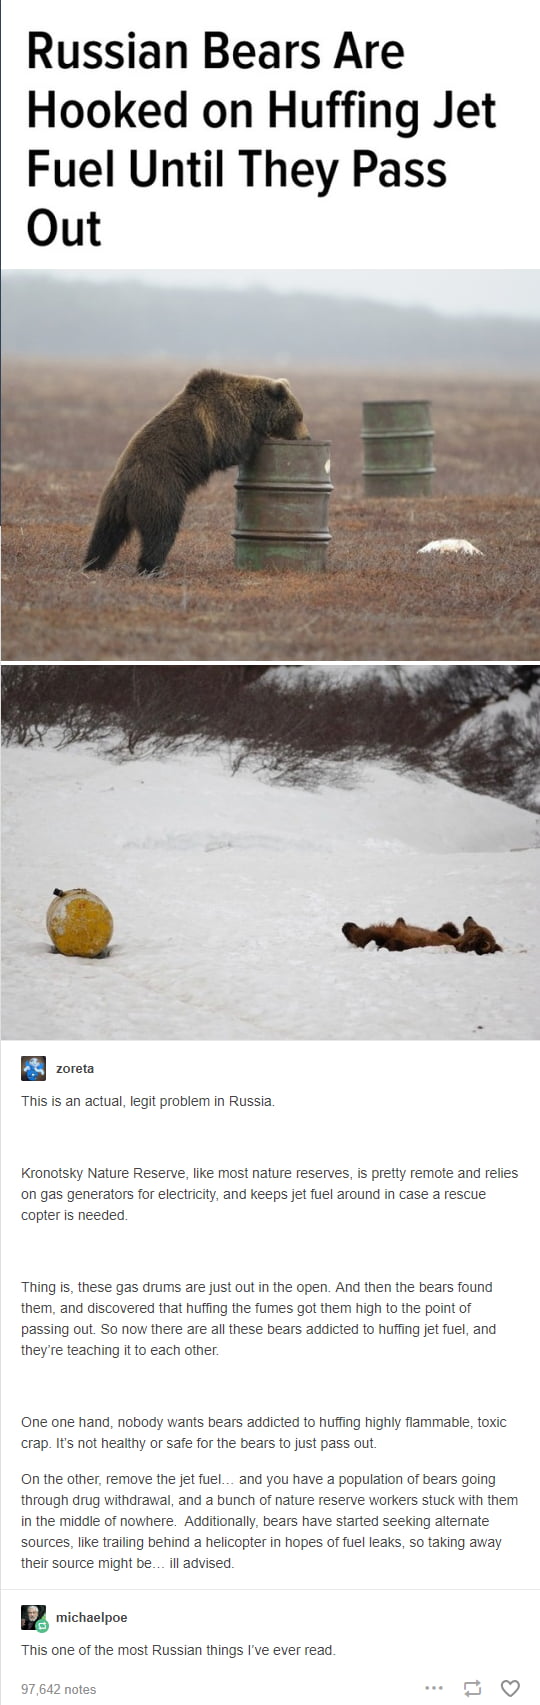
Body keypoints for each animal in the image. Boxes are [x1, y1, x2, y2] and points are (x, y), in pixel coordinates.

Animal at [82, 368, 310, 577]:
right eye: (299, 416)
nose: (307, 437)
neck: (250, 409)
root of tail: (125, 487)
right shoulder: (224, 420)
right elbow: (232, 447)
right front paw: (260, 437)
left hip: (112, 504)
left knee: (105, 534)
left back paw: (92, 564)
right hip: (161, 488)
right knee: (161, 530)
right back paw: (150, 568)